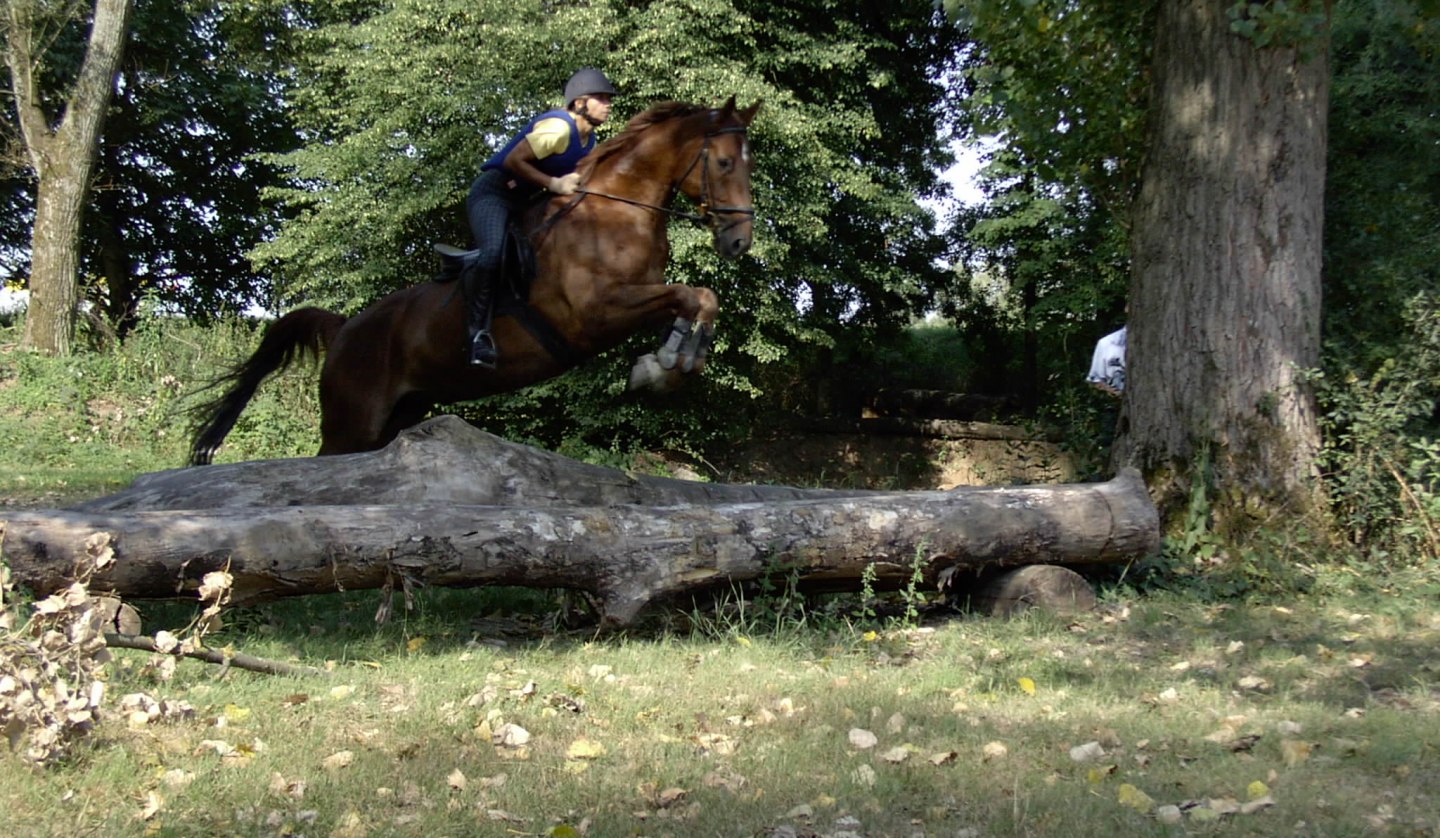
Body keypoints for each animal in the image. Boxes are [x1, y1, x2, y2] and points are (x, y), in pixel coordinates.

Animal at [191, 99, 766, 469]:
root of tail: (345, 327)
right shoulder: (593, 314)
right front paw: (661, 365)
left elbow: (700, 298)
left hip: (400, 413)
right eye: (723, 162)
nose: (740, 241)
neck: (618, 211)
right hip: (353, 421)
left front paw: (674, 362)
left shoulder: (639, 297)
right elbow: (689, 294)